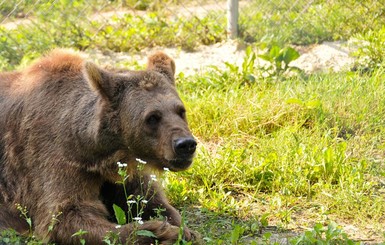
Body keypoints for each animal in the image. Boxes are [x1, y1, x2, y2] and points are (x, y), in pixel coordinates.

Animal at [0, 48, 198, 244]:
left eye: (181, 111)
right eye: (152, 117)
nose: (186, 144)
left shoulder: (127, 168)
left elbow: (148, 198)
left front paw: (184, 229)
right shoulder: (53, 158)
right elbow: (66, 215)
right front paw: (160, 231)